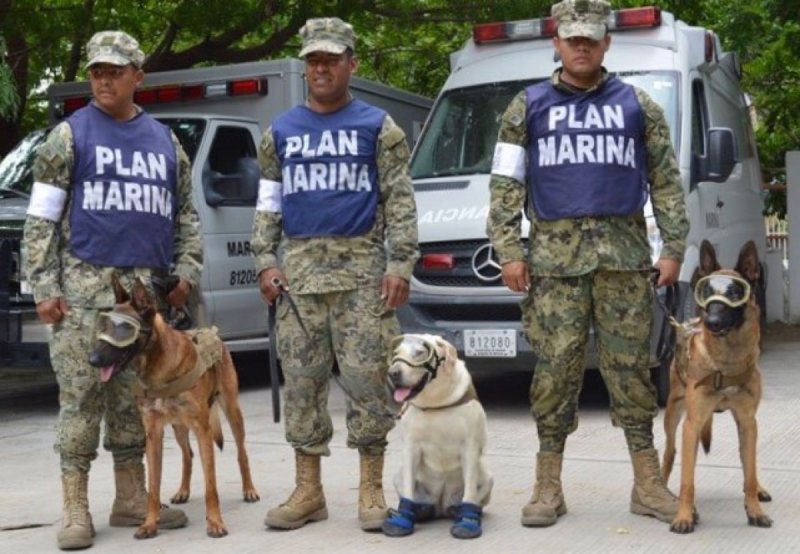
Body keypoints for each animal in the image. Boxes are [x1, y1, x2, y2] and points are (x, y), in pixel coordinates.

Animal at [90, 274, 260, 536]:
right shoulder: (153, 434)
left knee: (242, 453)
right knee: (187, 455)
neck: (157, 368)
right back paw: (183, 491)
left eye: (123, 330)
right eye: (104, 327)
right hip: (179, 427)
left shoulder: (202, 431)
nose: (92, 360)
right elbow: (154, 486)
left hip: (232, 411)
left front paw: (215, 522)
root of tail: (213, 334)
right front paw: (150, 523)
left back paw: (249, 489)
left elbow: (211, 485)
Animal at [382, 334, 494, 536]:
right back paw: (421, 510)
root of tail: (441, 505)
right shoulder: (411, 447)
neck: (435, 403)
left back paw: (462, 511)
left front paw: (467, 522)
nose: (393, 373)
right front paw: (402, 519)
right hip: (398, 477)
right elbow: (408, 486)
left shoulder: (470, 447)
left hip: (487, 477)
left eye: (420, 353)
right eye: (395, 354)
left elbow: (470, 490)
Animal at [660, 239, 772, 532]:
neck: (726, 362)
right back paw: (661, 486)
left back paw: (759, 490)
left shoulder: (747, 421)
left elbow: (749, 473)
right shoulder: (692, 424)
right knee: (670, 452)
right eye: (707, 293)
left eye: (734, 293)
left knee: (747, 462)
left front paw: (754, 511)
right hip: (673, 415)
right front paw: (684, 516)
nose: (711, 323)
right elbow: (687, 481)